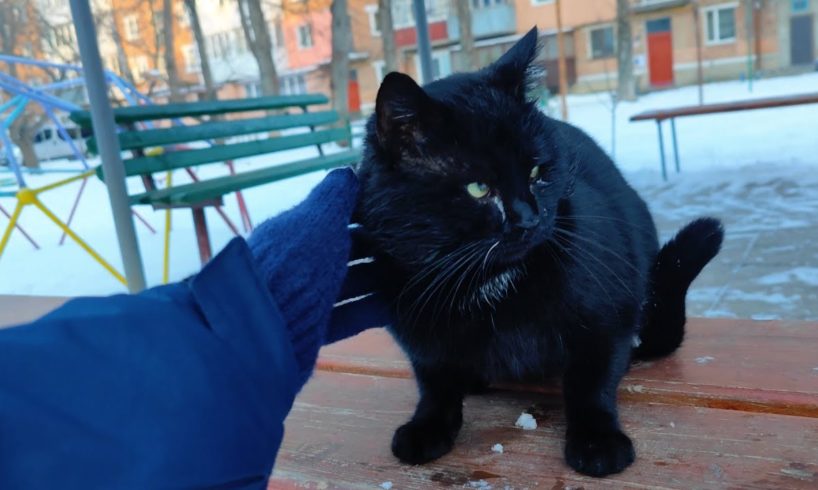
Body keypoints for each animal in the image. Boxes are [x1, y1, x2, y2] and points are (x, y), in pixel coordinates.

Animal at [354, 27, 724, 478]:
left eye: (537, 173)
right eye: (479, 188)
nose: (529, 219)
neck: (486, 280)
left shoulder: (607, 314)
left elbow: (591, 380)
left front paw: (598, 440)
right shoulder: (417, 334)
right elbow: (434, 382)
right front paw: (427, 427)